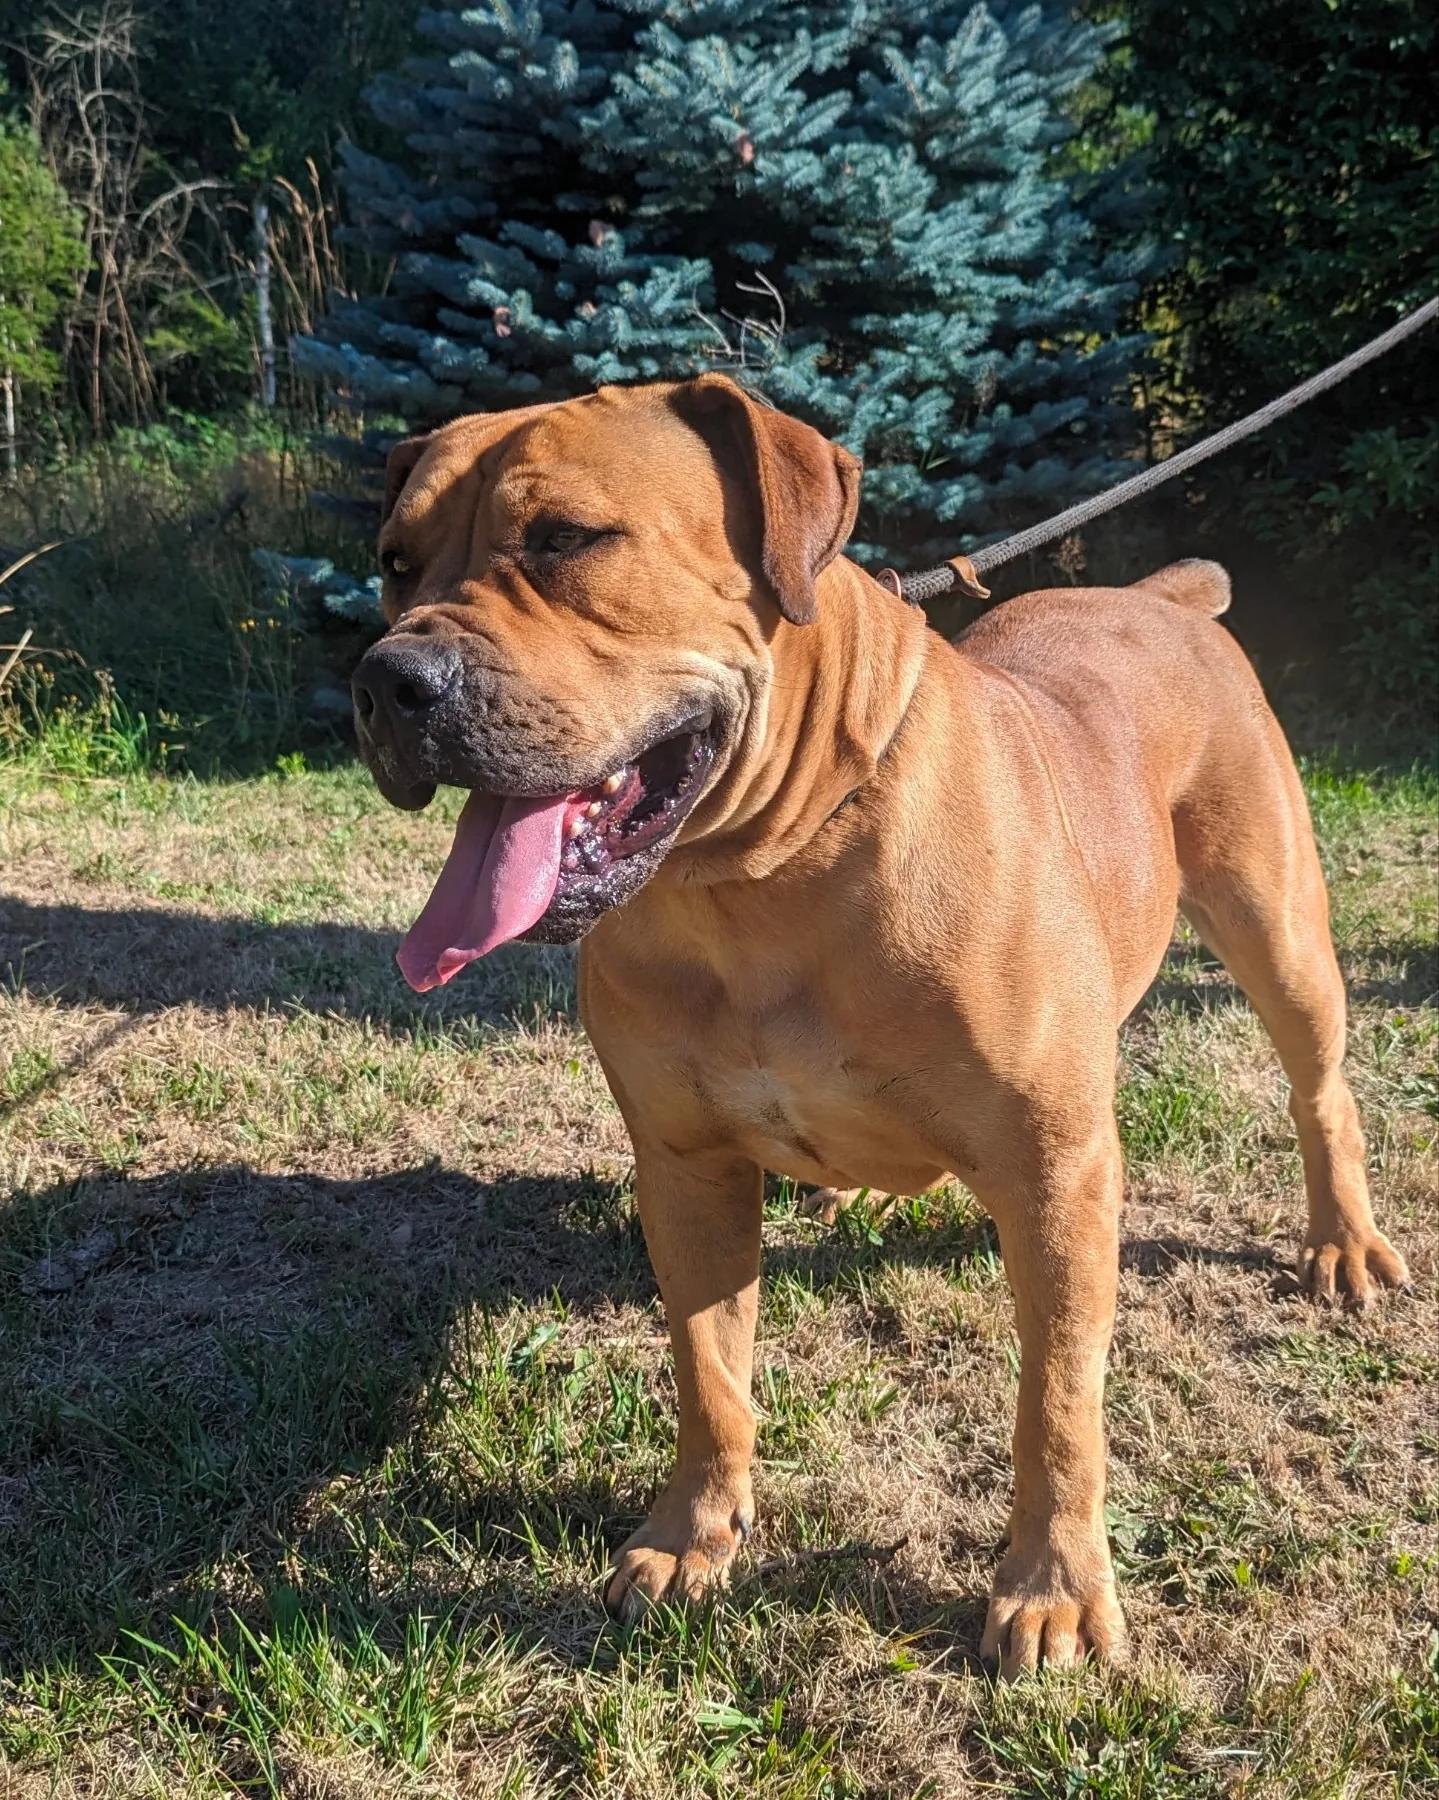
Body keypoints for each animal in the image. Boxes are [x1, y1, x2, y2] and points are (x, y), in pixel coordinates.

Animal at [350, 375, 1408, 1677]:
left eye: (564, 540)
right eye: (393, 563)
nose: (387, 680)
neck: (758, 877)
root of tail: (1157, 599)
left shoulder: (1057, 1174)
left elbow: (1057, 1400)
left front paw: (1051, 1587)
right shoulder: (685, 1167)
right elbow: (708, 1369)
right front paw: (691, 1534)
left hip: (1278, 929)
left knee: (1319, 1090)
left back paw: (1341, 1243)